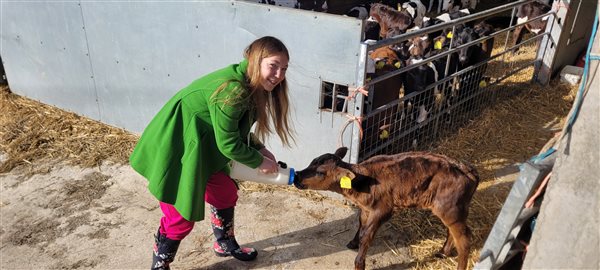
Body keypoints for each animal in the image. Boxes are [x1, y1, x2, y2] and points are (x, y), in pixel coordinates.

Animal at [292, 148, 480, 270]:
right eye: (312, 161)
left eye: (320, 173)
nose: (297, 176)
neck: (362, 183)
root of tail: (469, 170)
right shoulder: (366, 209)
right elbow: (360, 225)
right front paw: (353, 242)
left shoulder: (383, 210)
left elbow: (366, 236)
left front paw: (359, 264)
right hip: (452, 209)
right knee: (452, 232)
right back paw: (442, 253)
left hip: (450, 208)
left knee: (464, 239)